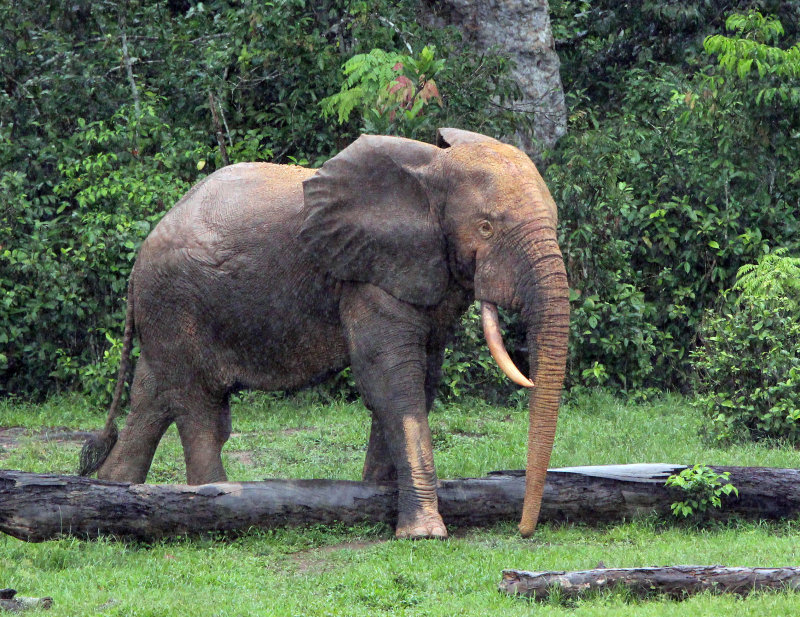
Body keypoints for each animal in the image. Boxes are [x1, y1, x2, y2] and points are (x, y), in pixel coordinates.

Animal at [79, 127, 568, 536]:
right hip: (177, 303)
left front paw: (372, 497)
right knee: (198, 408)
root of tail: (140, 257)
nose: (524, 531)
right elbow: (391, 381)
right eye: (486, 226)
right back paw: (213, 508)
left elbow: (421, 380)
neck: (430, 167)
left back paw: (114, 495)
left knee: (152, 397)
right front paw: (424, 533)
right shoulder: (364, 275)